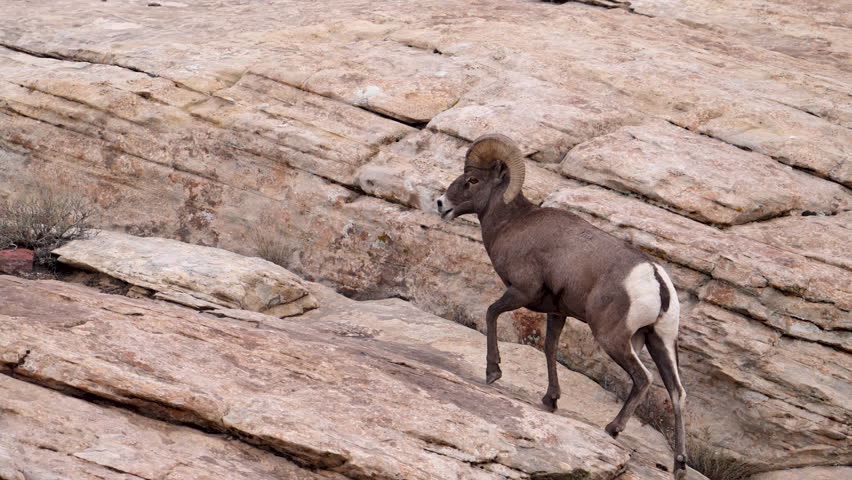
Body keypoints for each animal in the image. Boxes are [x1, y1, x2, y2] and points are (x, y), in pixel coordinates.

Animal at [435, 134, 687, 479]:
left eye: (472, 180)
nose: (441, 204)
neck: (512, 224)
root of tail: (654, 276)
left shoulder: (522, 292)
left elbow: (490, 314)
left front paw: (493, 372)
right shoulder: (558, 313)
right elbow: (550, 349)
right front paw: (550, 400)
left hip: (614, 339)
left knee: (643, 379)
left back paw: (613, 428)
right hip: (660, 341)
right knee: (677, 392)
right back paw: (679, 465)